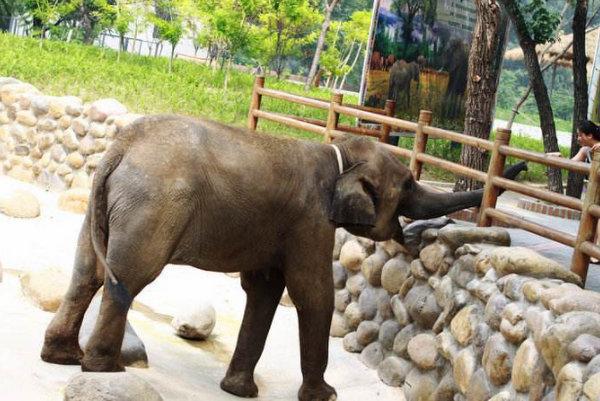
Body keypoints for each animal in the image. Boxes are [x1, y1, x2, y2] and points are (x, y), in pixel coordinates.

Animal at [39, 114, 524, 398]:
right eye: (406, 186)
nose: (420, 237)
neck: (340, 151)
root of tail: (121, 147)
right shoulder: (311, 221)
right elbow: (312, 293)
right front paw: (324, 395)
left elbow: (265, 289)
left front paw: (238, 392)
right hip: (154, 205)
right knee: (128, 277)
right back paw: (106, 369)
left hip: (109, 203)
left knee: (86, 272)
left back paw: (62, 358)